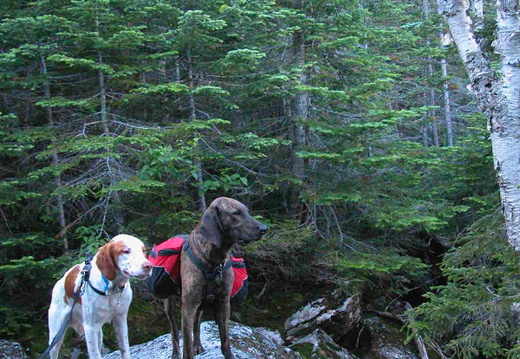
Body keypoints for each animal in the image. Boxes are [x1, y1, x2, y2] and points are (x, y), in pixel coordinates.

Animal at [165, 198, 266, 358]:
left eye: (247, 211)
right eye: (235, 213)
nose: (264, 229)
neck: (214, 261)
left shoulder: (223, 302)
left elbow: (225, 339)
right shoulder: (188, 306)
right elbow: (186, 346)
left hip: (200, 305)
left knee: (197, 325)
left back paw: (197, 344)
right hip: (169, 303)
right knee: (174, 330)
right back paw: (175, 353)